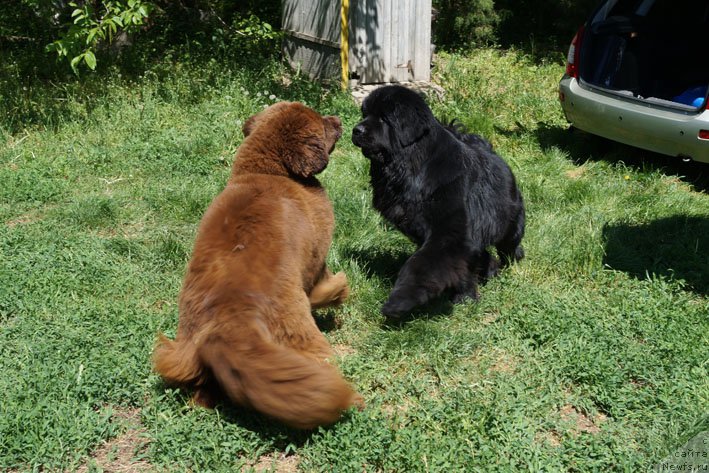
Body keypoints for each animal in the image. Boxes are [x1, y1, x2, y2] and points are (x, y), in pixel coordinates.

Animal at [156, 101, 366, 430]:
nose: (339, 119)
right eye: (322, 123)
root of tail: (230, 325)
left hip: (188, 352)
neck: (269, 172)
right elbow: (323, 283)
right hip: (300, 336)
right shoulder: (316, 254)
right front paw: (337, 291)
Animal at [352, 85, 524, 318]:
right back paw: (490, 270)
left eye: (384, 118)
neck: (414, 168)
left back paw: (512, 261)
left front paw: (399, 302)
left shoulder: (449, 233)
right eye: (365, 114)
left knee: (509, 245)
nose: (356, 130)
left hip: (510, 224)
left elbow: (420, 264)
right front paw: (466, 297)